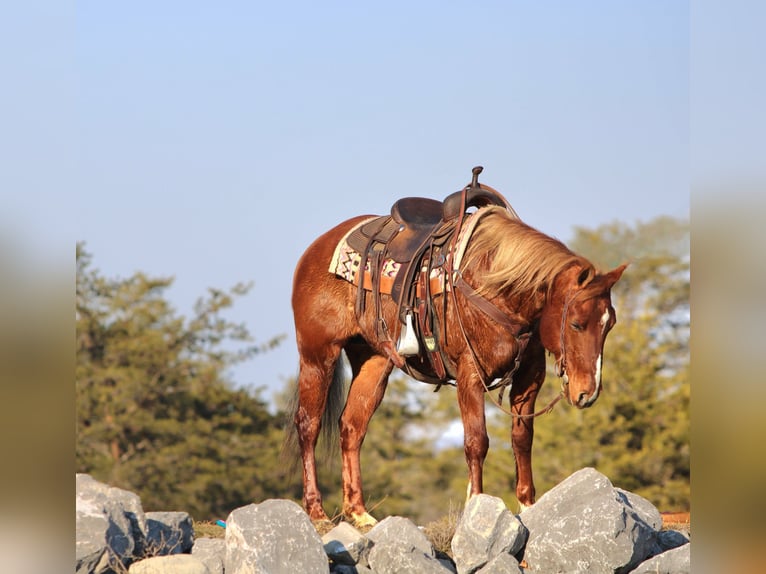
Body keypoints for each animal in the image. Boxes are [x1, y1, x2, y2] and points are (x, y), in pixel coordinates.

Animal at [287, 172, 626, 528]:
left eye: (610, 323)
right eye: (576, 324)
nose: (587, 392)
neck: (497, 287)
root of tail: (316, 249)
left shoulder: (530, 376)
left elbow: (522, 437)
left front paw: (528, 505)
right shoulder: (470, 375)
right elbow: (477, 441)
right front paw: (476, 503)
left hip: (373, 360)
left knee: (352, 427)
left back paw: (359, 512)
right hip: (317, 355)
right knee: (308, 425)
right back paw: (317, 512)